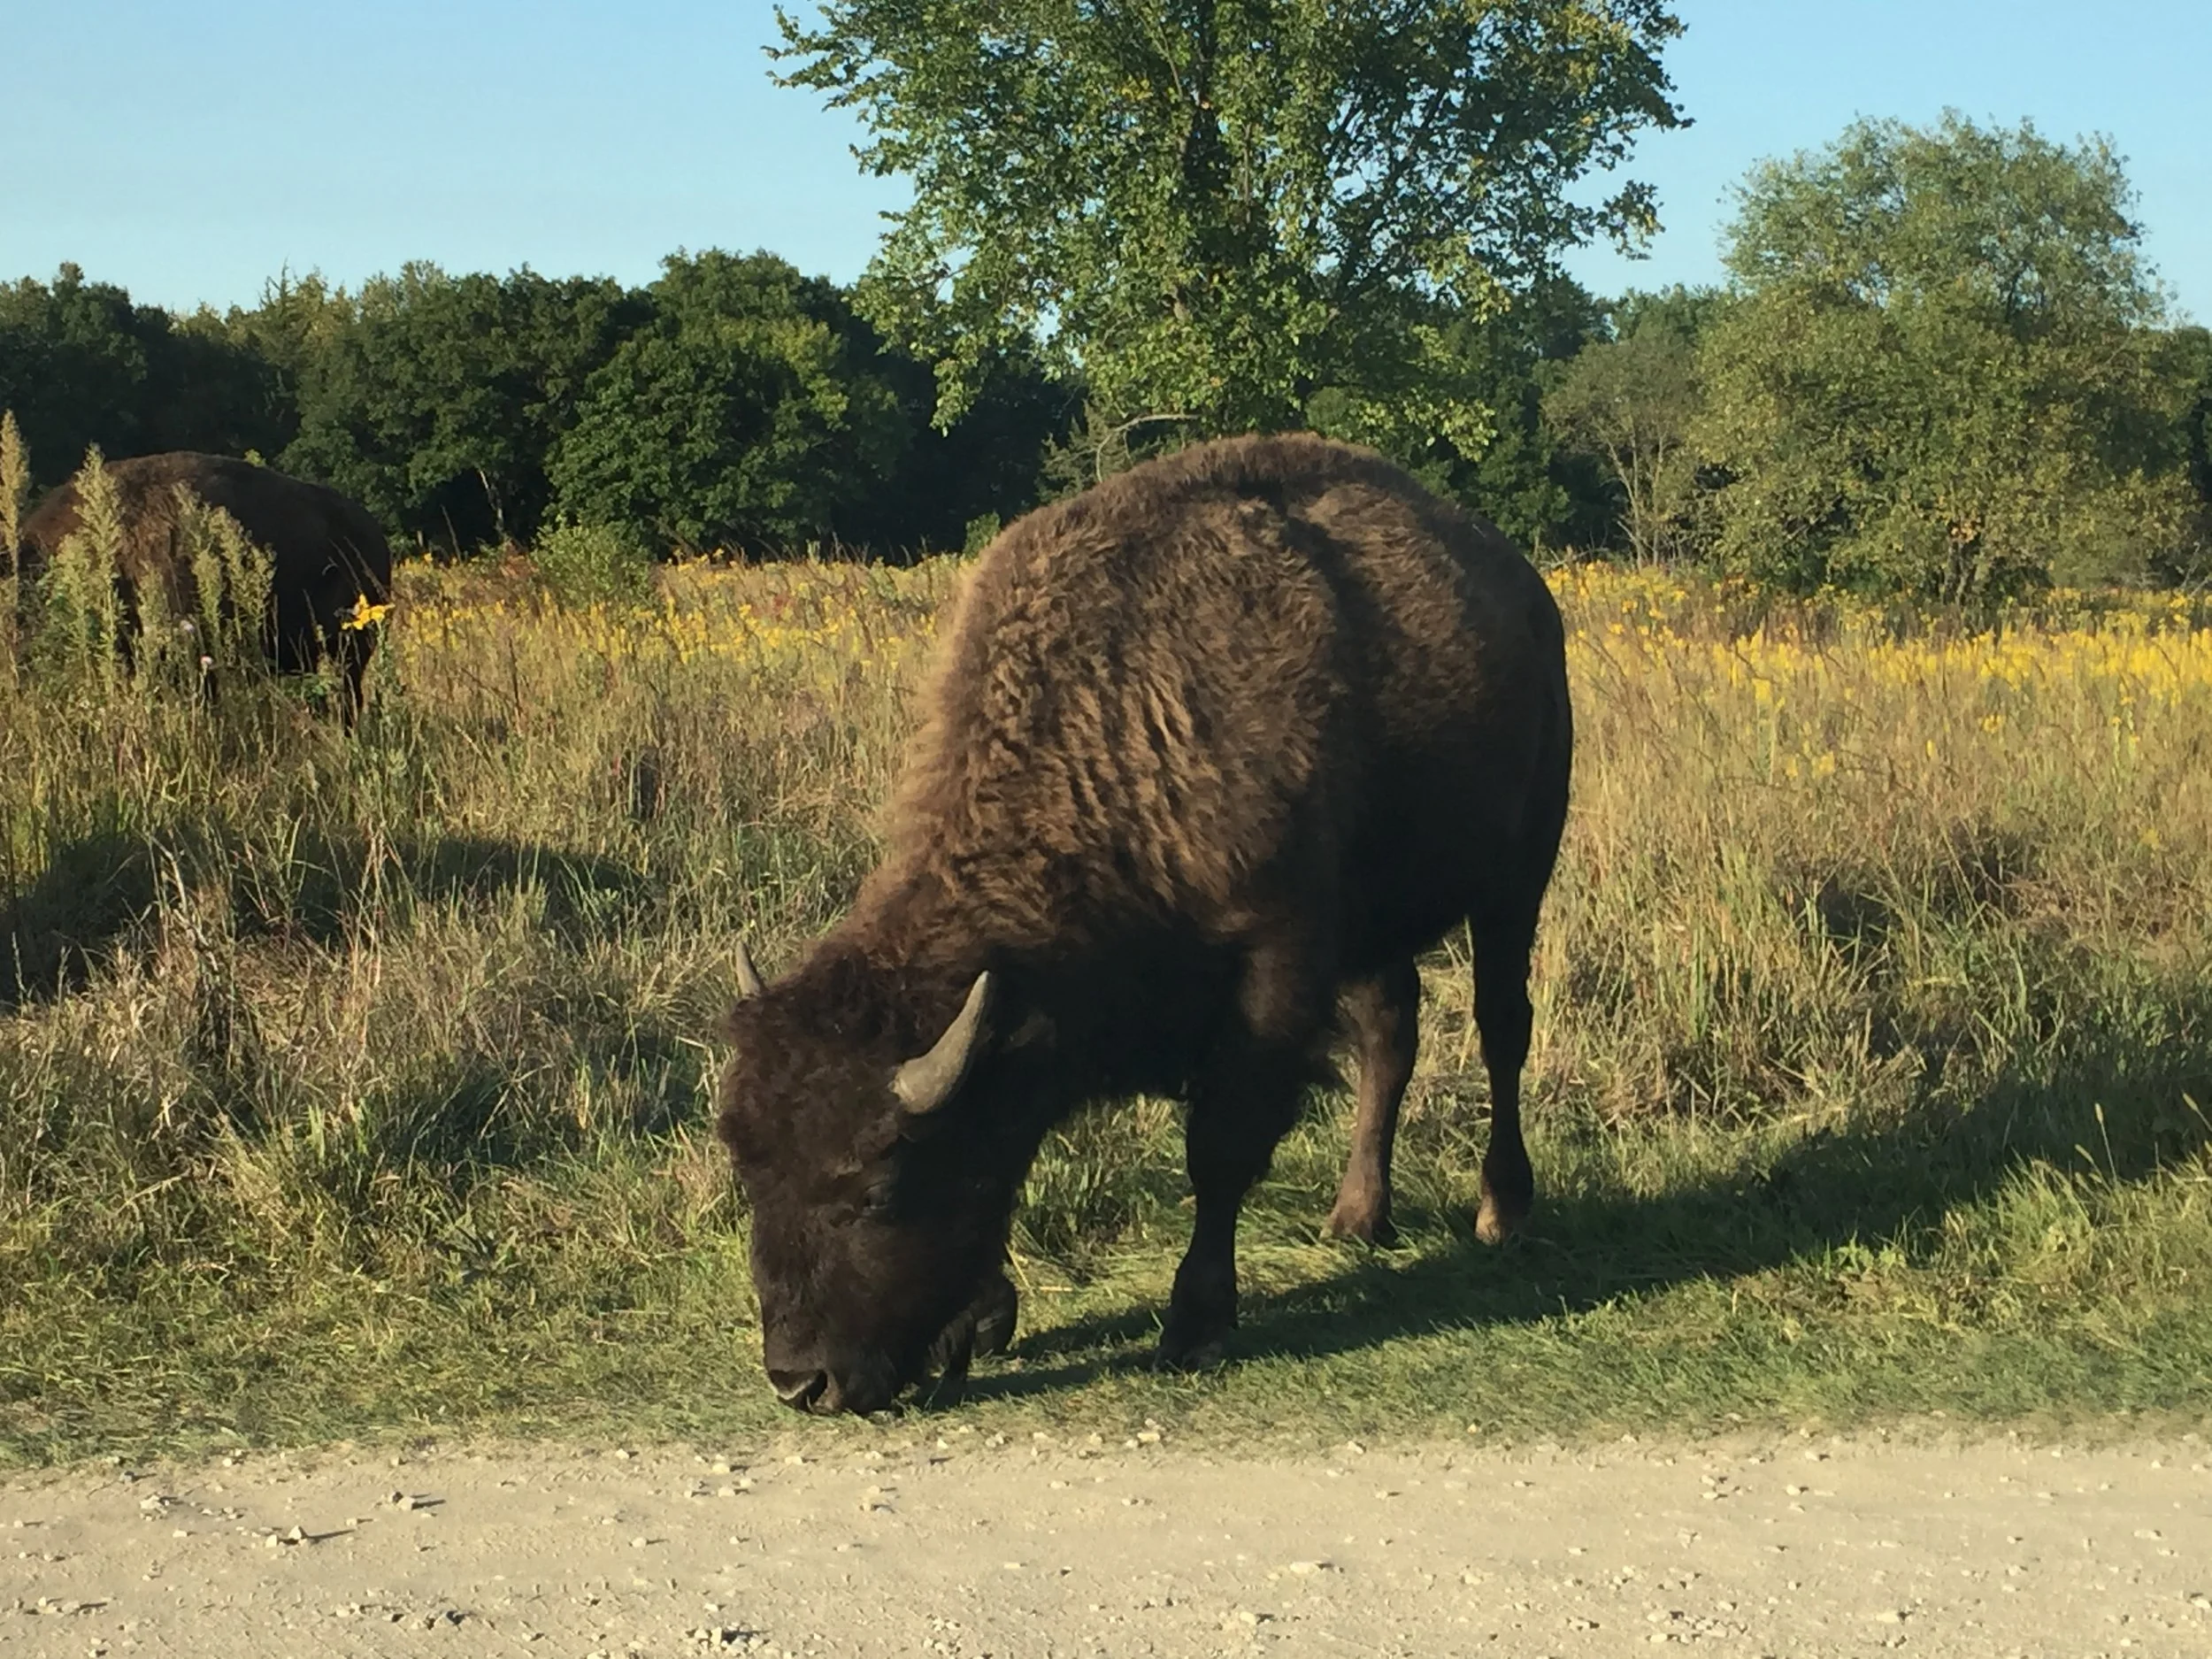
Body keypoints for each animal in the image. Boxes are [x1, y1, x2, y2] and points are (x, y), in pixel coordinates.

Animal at [715, 433, 1572, 1414]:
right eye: (748, 1167)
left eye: (880, 1186)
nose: (800, 1379)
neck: (1118, 724)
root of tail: (1526, 592)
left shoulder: (1274, 964)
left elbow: (1221, 1148)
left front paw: (1195, 1324)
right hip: (1378, 926)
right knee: (1391, 1035)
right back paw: (1356, 1218)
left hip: (1516, 876)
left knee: (1502, 1026)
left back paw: (1502, 1213)